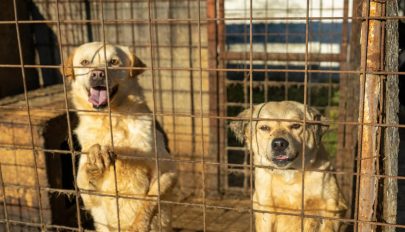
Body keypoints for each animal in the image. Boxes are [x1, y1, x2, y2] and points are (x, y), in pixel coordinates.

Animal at [62, 42, 176, 232]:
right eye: (85, 62)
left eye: (113, 62)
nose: (97, 74)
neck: (111, 121)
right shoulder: (89, 198)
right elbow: (84, 177)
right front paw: (96, 156)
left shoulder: (168, 170)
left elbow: (151, 199)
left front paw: (139, 224)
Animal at [229, 101, 346, 232]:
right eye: (264, 127)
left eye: (295, 126)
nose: (279, 144)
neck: (289, 177)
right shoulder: (265, 210)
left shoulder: (332, 208)